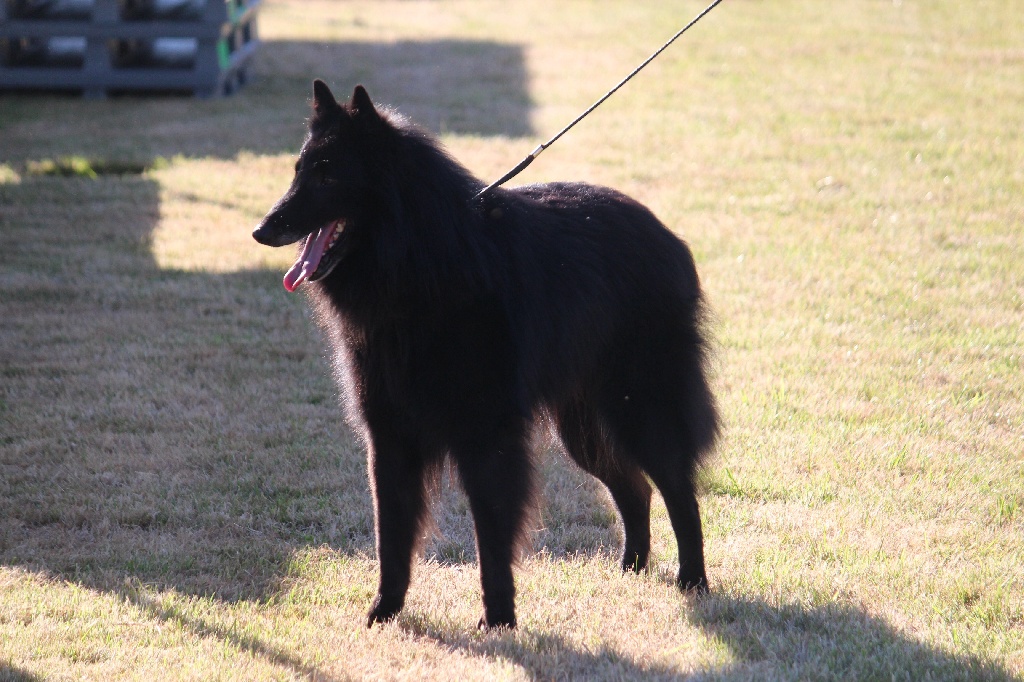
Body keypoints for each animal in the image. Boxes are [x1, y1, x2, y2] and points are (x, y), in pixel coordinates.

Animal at [253, 79, 720, 626]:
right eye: (298, 171)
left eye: (327, 176)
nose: (262, 230)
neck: (420, 263)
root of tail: (669, 238)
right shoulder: (389, 438)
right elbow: (391, 538)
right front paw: (384, 614)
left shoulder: (487, 439)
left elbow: (491, 537)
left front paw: (498, 620)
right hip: (583, 428)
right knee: (635, 488)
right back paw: (631, 569)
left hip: (641, 409)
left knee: (678, 489)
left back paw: (693, 582)